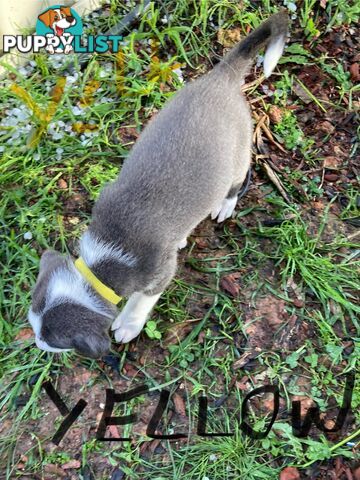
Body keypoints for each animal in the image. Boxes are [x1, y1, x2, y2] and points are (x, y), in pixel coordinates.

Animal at [28, 13, 290, 358]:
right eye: (34, 323)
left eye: (54, 341)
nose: (36, 342)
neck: (106, 256)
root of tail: (222, 77)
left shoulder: (158, 275)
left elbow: (141, 301)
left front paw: (128, 324)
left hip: (237, 157)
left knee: (237, 181)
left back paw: (225, 205)